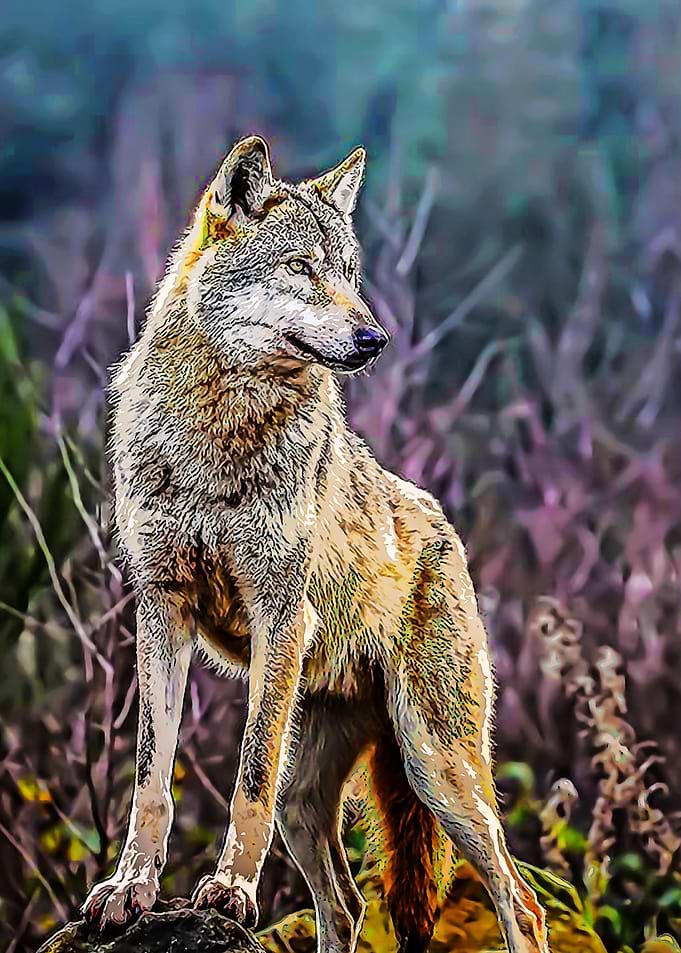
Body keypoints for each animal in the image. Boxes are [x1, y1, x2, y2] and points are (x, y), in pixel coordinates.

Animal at [81, 136, 548, 953]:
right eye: (301, 267)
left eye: (350, 274)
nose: (374, 338)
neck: (219, 431)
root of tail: (444, 524)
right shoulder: (162, 610)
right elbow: (149, 779)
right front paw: (129, 888)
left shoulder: (278, 613)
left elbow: (248, 778)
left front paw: (229, 891)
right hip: (319, 800)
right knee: (347, 904)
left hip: (436, 766)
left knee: (517, 899)